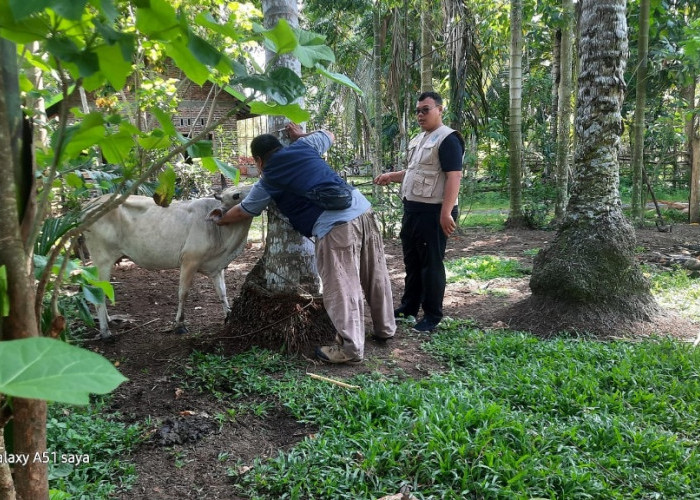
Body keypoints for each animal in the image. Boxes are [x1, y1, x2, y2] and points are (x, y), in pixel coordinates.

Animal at [82, 186, 252, 338]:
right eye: (236, 195)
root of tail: (89, 204)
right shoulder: (190, 260)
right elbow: (183, 293)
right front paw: (179, 325)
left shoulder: (216, 268)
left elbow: (222, 292)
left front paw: (228, 314)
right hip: (101, 258)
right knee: (98, 290)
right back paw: (105, 332)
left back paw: (108, 320)